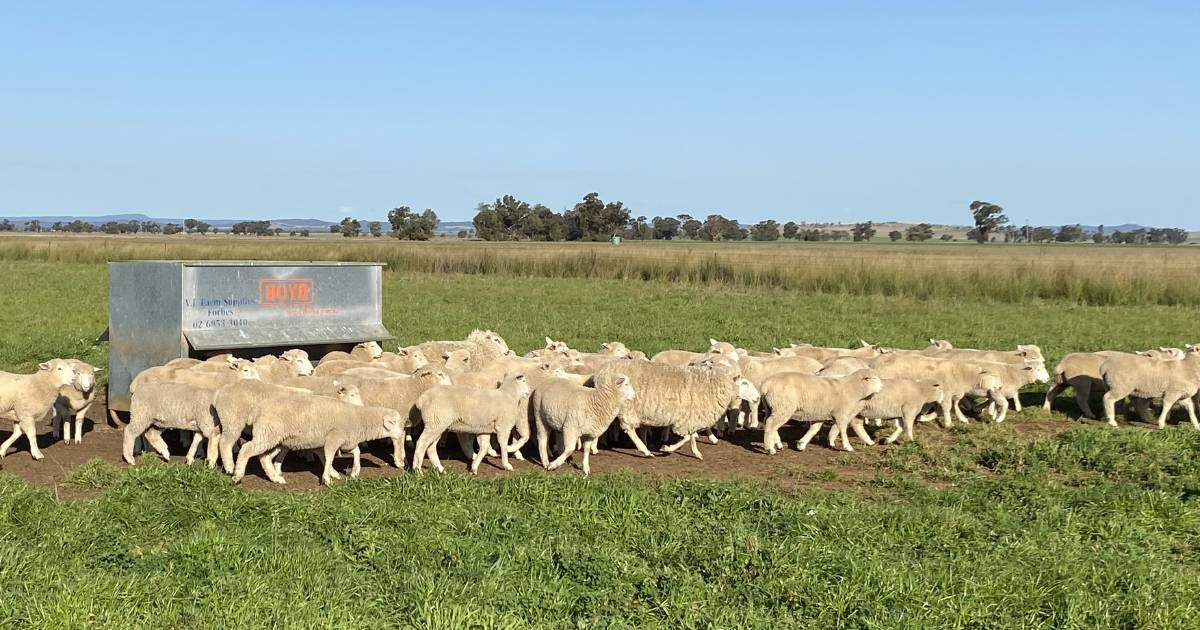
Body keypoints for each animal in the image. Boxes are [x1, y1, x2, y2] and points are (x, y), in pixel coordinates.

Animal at [231, 393, 405, 487]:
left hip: (277, 439)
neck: (359, 419)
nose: (402, 434)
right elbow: (329, 457)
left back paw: (276, 478)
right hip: (268, 434)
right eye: (397, 423)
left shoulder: (343, 441)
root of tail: (256, 410)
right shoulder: (334, 438)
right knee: (246, 449)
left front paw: (353, 472)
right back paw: (237, 475)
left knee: (265, 458)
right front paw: (327, 479)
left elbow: (354, 451)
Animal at [595, 357, 753, 456]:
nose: (756, 397)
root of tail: (601, 373)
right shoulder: (685, 419)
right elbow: (687, 437)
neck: (709, 384)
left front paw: (696, 452)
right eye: (744, 383)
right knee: (629, 428)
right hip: (627, 407)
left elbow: (691, 437)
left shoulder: (690, 417)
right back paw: (644, 450)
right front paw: (667, 448)